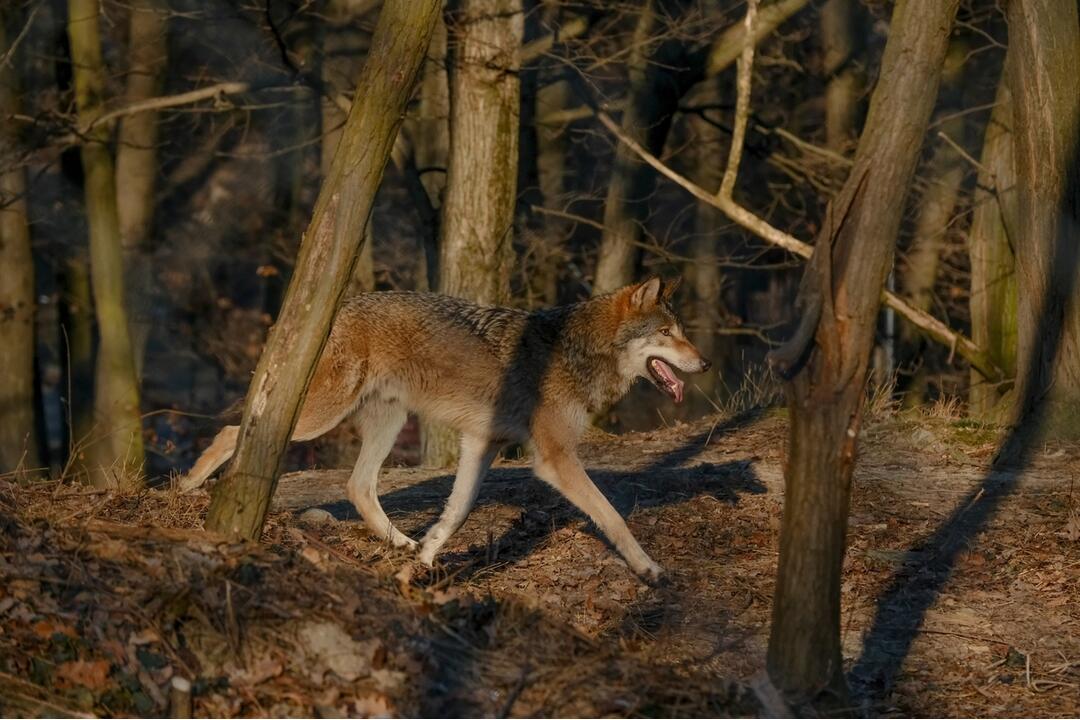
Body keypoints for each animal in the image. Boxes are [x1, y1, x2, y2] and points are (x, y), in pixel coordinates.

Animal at [182, 278, 712, 582]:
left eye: (683, 332)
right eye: (667, 333)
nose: (705, 363)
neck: (578, 352)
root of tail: (337, 306)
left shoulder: (481, 443)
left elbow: (456, 513)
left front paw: (424, 560)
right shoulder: (554, 458)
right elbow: (613, 517)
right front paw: (648, 569)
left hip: (387, 423)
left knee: (357, 486)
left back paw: (401, 542)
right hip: (318, 418)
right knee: (234, 433)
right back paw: (187, 489)